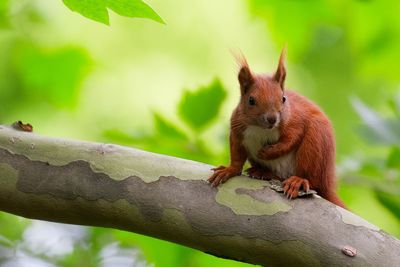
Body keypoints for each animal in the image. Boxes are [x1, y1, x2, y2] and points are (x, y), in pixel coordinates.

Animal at [208, 48, 346, 209]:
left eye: (283, 99)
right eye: (251, 100)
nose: (272, 119)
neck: (261, 129)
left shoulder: (296, 121)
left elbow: (291, 139)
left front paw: (268, 152)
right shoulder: (237, 128)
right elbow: (237, 156)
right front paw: (230, 170)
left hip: (315, 145)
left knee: (313, 180)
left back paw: (298, 181)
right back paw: (263, 172)